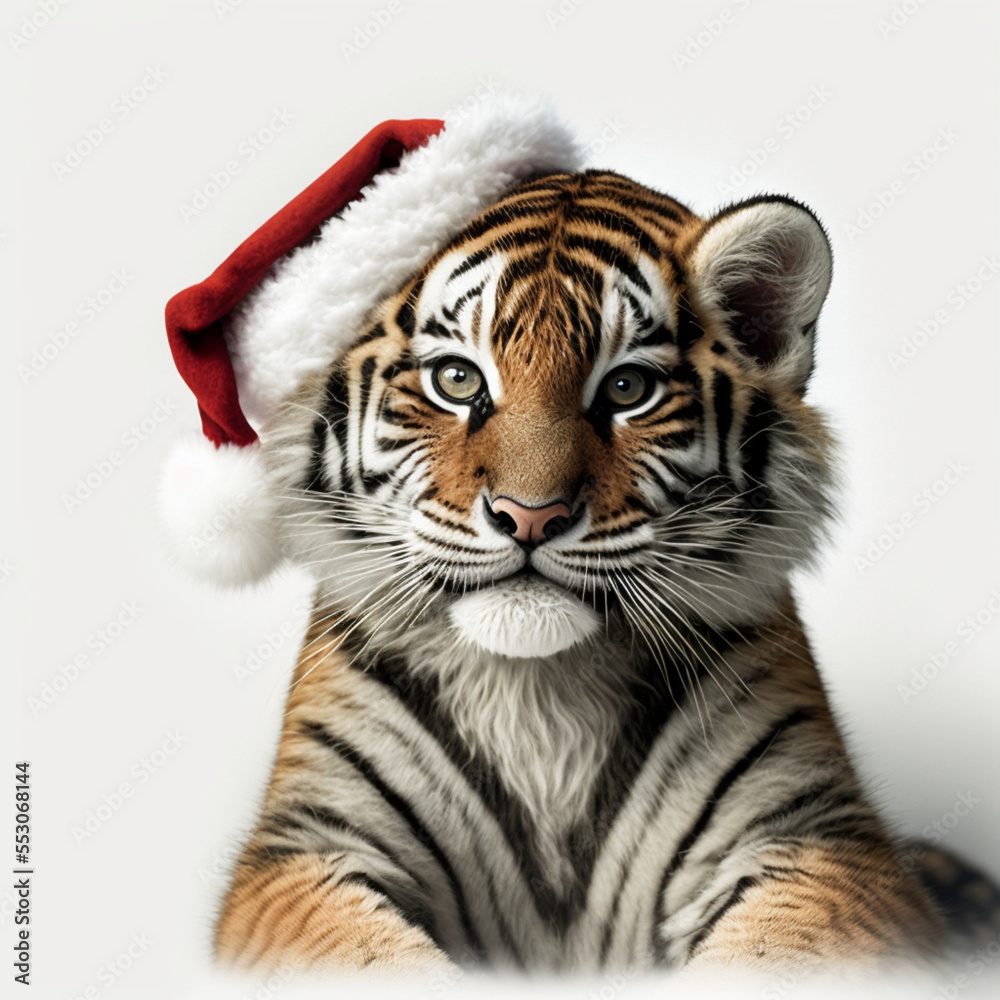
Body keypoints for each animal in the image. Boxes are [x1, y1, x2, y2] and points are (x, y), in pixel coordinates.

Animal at [212, 168, 999, 976]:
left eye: (626, 390)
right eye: (457, 380)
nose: (530, 516)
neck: (541, 693)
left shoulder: (815, 833)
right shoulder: (305, 844)